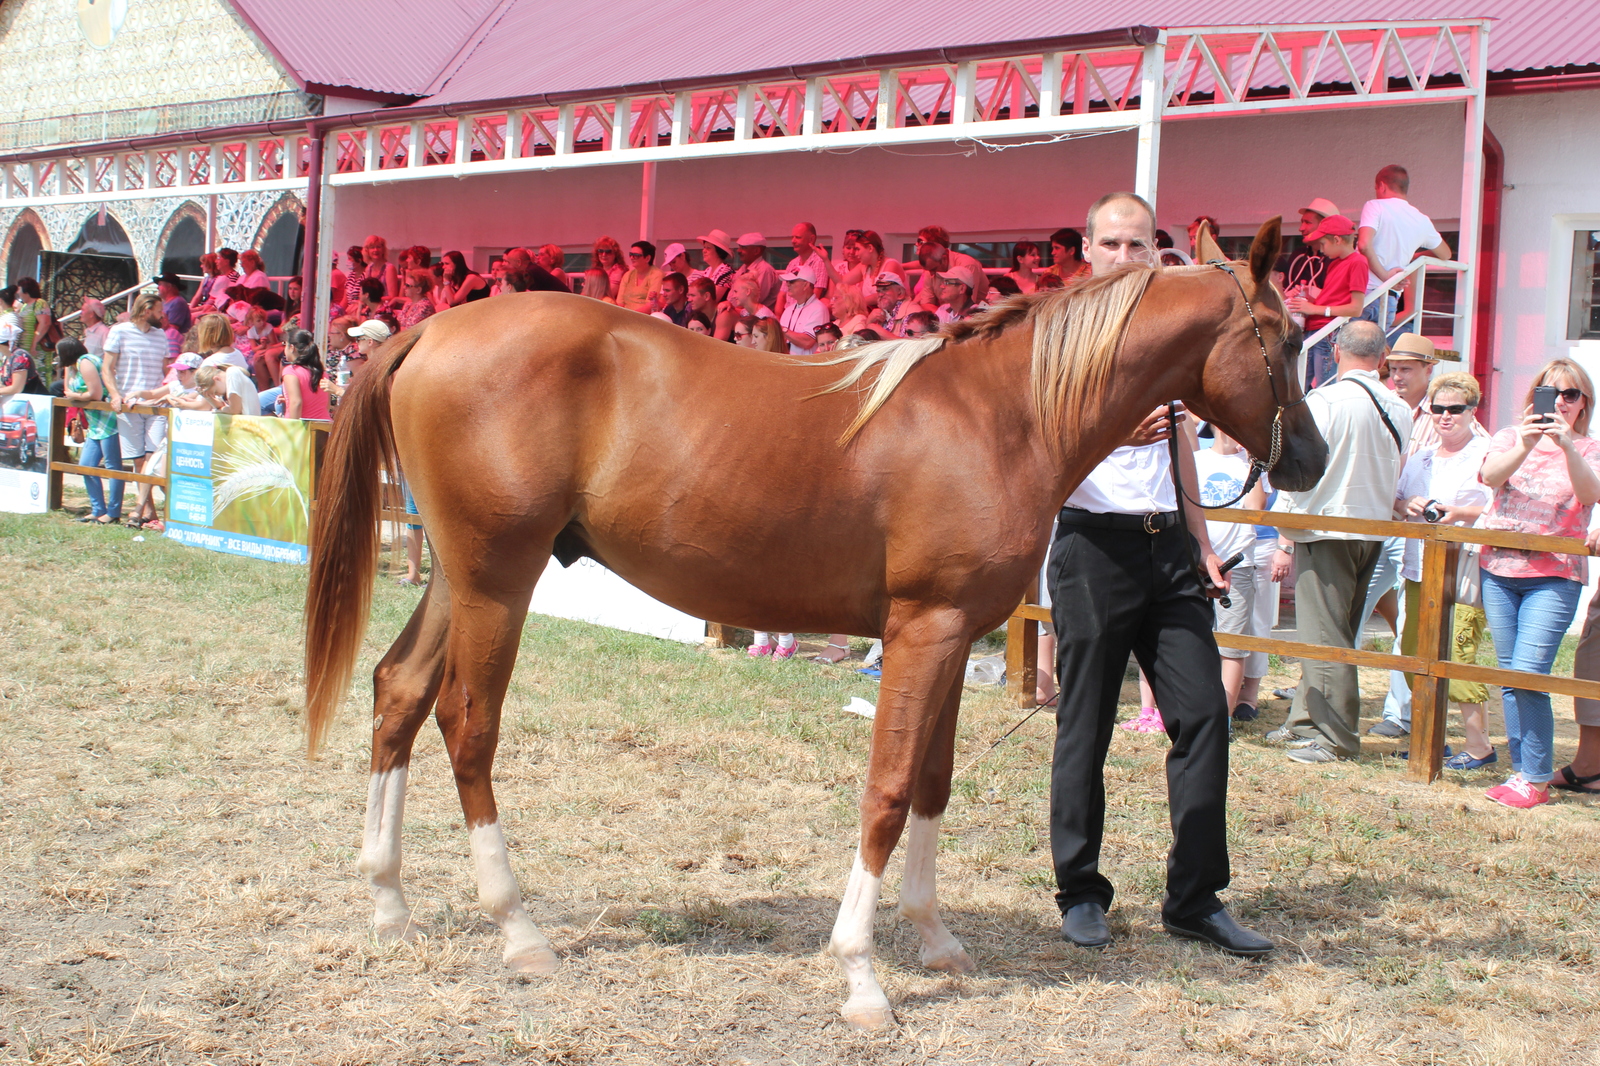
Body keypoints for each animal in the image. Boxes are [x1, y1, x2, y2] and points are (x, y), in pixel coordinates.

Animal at [302, 216, 1324, 1024]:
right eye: (1282, 336)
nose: (1309, 459)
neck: (999, 414)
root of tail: (428, 330)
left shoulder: (951, 636)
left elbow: (933, 784)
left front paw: (935, 938)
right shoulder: (922, 630)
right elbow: (887, 790)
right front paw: (863, 976)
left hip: (460, 578)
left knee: (397, 694)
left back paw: (390, 904)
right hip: (496, 582)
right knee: (466, 726)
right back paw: (519, 931)